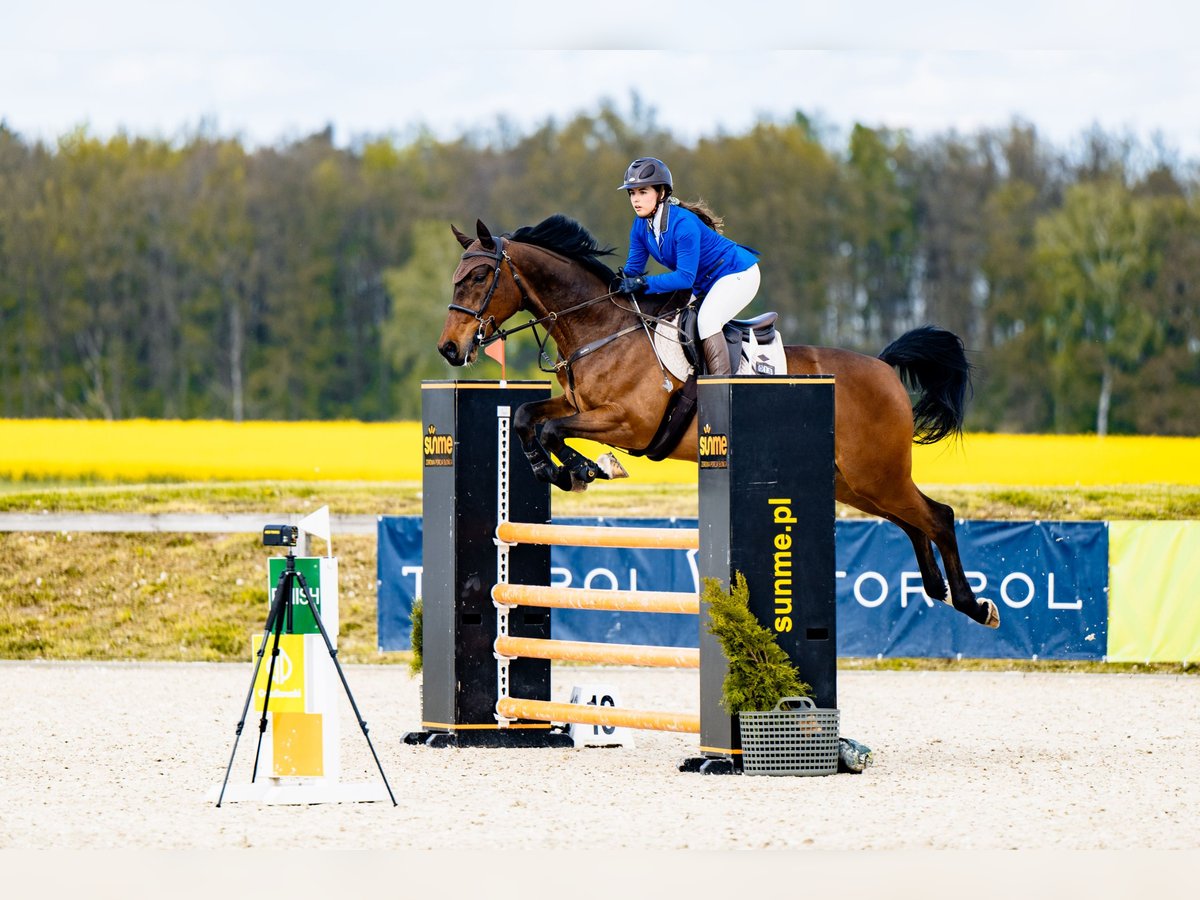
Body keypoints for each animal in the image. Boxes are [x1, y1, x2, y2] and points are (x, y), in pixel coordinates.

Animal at [441, 214, 1003, 628]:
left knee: (937, 516)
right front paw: (566, 469)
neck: (601, 328)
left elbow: (552, 429)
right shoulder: (581, 406)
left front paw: (582, 470)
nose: (450, 349)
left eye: (478, 277)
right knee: (913, 521)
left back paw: (974, 605)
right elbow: (527, 417)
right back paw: (941, 592)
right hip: (856, 483)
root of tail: (884, 368)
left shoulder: (628, 424)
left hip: (875, 474)